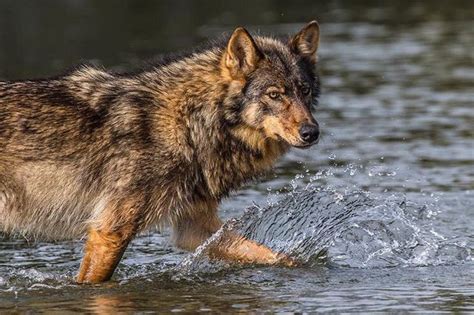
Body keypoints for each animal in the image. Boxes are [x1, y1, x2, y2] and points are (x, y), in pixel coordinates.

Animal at [0, 21, 322, 284]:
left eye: (304, 91)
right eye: (275, 94)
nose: (312, 132)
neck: (188, 122)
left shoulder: (195, 228)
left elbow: (277, 256)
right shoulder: (109, 231)